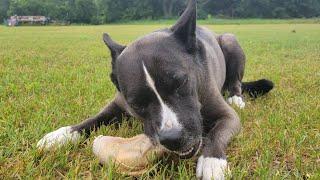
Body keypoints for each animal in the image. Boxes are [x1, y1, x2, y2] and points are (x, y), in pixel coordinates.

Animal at [37, 0, 272, 179]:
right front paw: (61, 135)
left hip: (230, 41)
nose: (172, 138)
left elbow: (218, 132)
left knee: (236, 82)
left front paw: (212, 161)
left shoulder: (226, 116)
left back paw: (236, 97)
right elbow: (94, 119)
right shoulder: (118, 103)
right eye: (136, 103)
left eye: (181, 82)